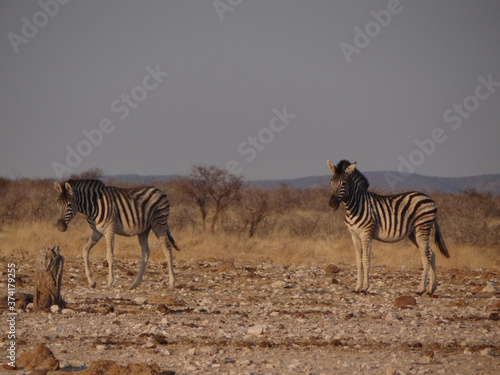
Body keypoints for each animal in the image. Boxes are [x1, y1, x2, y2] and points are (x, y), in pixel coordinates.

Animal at [326, 160, 452, 296]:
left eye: (344, 183)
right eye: (331, 182)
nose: (331, 204)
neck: (355, 207)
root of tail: (430, 199)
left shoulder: (366, 233)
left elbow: (366, 260)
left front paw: (365, 288)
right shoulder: (354, 235)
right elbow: (358, 261)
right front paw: (357, 287)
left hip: (422, 227)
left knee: (426, 257)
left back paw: (421, 289)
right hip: (413, 233)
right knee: (431, 254)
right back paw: (431, 289)